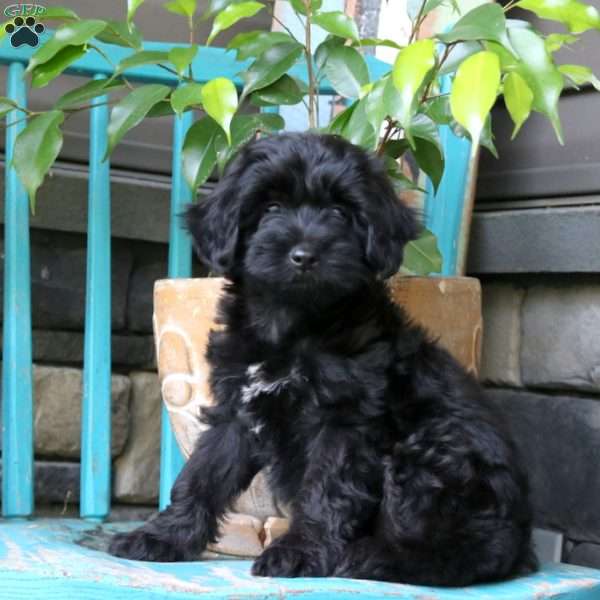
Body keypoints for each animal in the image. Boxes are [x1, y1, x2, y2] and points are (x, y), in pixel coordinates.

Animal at [109, 132, 536, 584]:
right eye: (270, 208)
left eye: (339, 213)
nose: (304, 255)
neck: (294, 323)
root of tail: (522, 539)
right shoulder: (236, 409)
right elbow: (202, 475)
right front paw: (162, 536)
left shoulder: (344, 420)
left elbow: (326, 488)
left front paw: (298, 552)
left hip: (430, 457)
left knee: (463, 554)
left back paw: (373, 557)